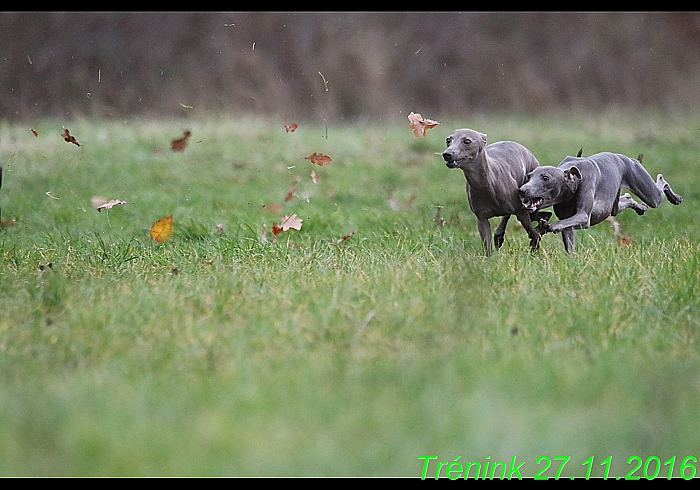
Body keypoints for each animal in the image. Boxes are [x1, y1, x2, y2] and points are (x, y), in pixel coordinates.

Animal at [516, 151, 680, 253]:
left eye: (545, 178)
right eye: (529, 176)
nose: (521, 190)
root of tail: (624, 158)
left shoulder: (583, 217)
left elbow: (560, 224)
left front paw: (545, 226)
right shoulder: (567, 221)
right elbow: (568, 237)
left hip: (650, 193)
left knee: (661, 181)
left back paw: (675, 198)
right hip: (613, 206)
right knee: (627, 198)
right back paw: (641, 208)